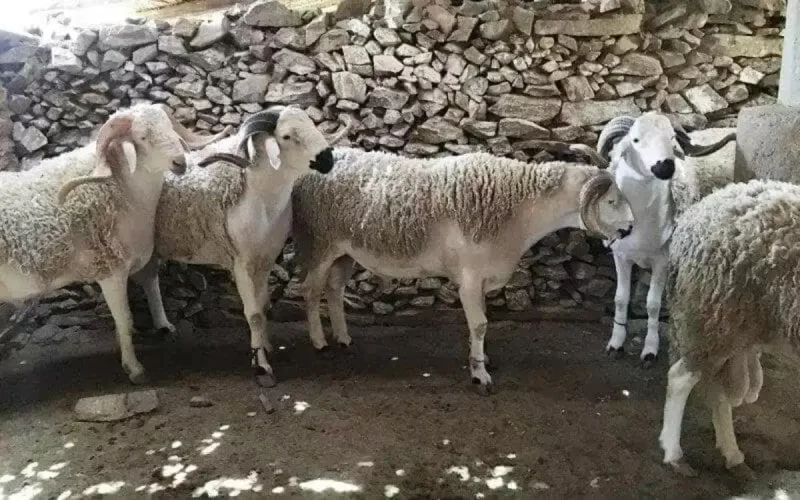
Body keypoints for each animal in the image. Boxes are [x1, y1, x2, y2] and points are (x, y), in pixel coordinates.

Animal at [0, 103, 229, 384]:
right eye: (142, 137)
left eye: (170, 127)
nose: (180, 162)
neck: (123, 188)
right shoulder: (110, 271)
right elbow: (125, 321)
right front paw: (135, 369)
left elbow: (146, 295)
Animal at [131, 105, 338, 387]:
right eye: (286, 136)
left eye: (312, 124)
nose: (328, 159)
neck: (259, 196)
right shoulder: (241, 263)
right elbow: (253, 314)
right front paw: (261, 366)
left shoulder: (265, 259)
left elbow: (263, 307)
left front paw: (265, 346)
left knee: (150, 278)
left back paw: (164, 326)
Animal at [290, 148, 635, 394]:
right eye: (612, 201)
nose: (631, 228)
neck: (518, 208)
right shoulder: (468, 278)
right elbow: (480, 324)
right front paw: (480, 375)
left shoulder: (480, 279)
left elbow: (480, 322)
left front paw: (480, 360)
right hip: (319, 244)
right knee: (311, 291)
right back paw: (320, 343)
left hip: (344, 253)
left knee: (334, 290)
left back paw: (344, 338)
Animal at [569, 112, 735, 367]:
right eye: (635, 140)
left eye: (671, 138)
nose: (666, 166)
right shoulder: (621, 257)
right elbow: (620, 299)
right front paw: (616, 343)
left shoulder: (662, 261)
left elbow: (653, 305)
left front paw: (650, 349)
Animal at [658, 179, 800, 478]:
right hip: (715, 315)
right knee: (681, 377)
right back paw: (674, 453)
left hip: (739, 328)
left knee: (717, 387)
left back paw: (732, 453)